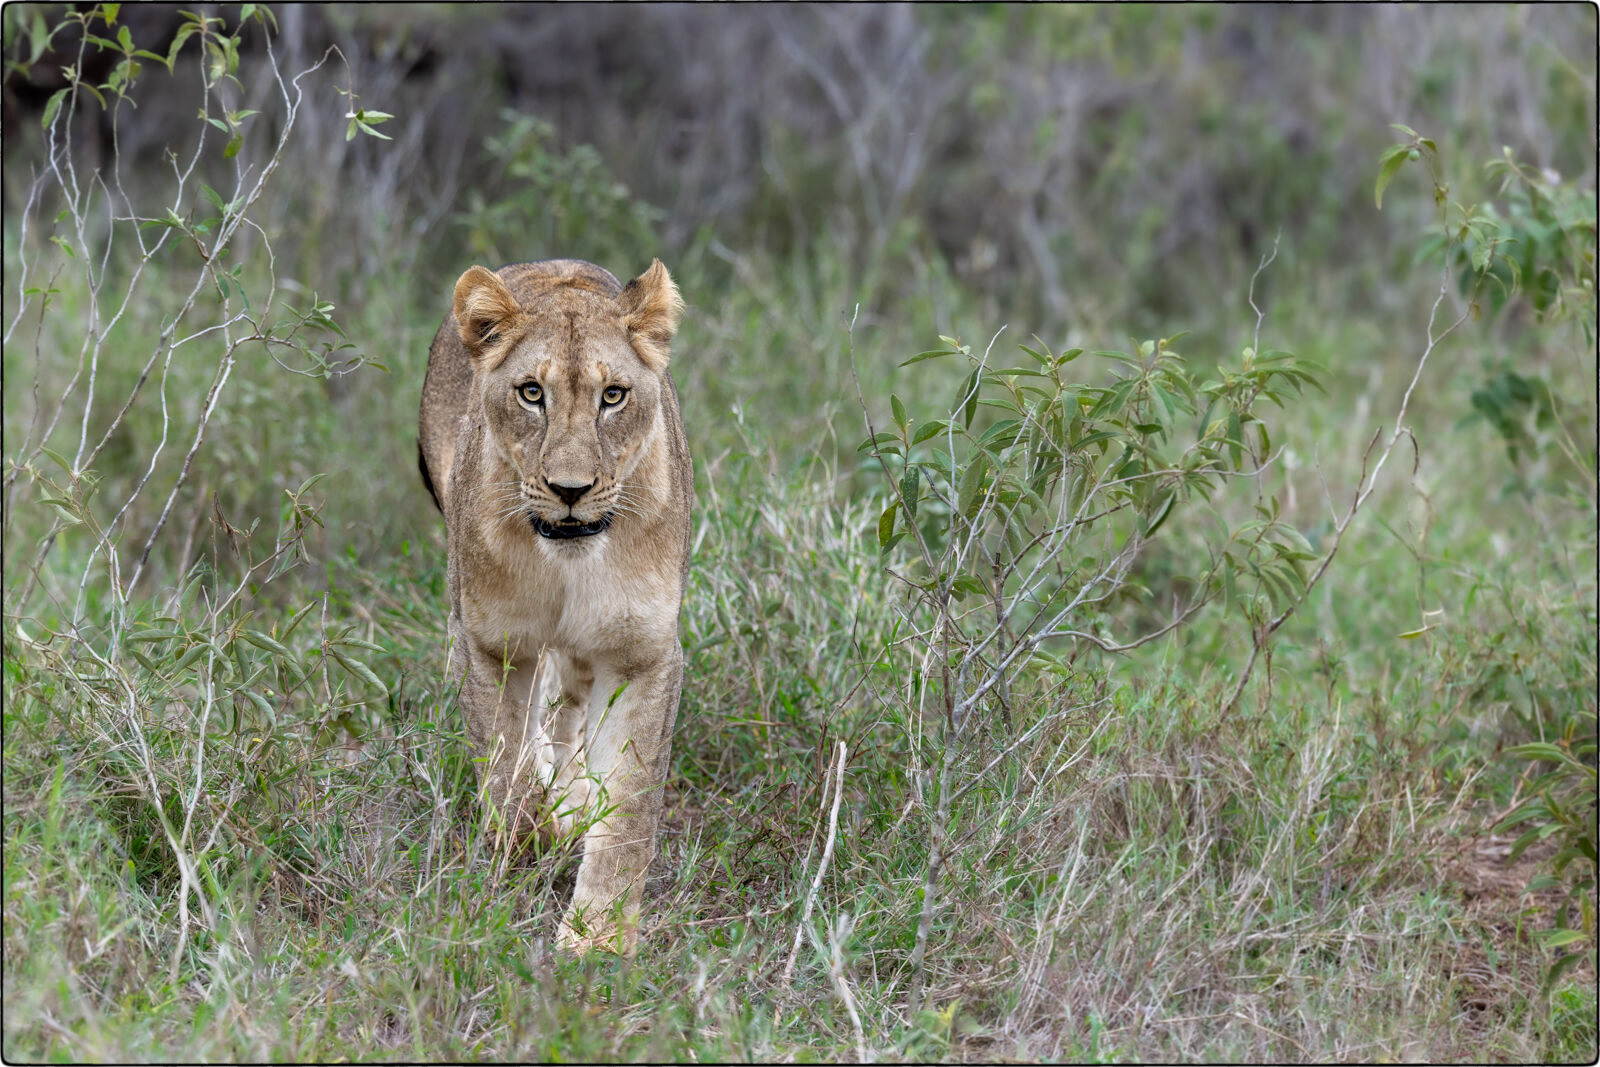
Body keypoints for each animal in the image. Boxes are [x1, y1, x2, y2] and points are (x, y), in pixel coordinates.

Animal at [418, 258, 691, 955]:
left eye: (613, 396)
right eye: (531, 393)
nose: (571, 490)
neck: (566, 564)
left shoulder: (644, 655)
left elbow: (629, 812)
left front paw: (598, 939)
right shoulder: (488, 642)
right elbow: (504, 764)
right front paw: (530, 836)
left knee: (570, 705)